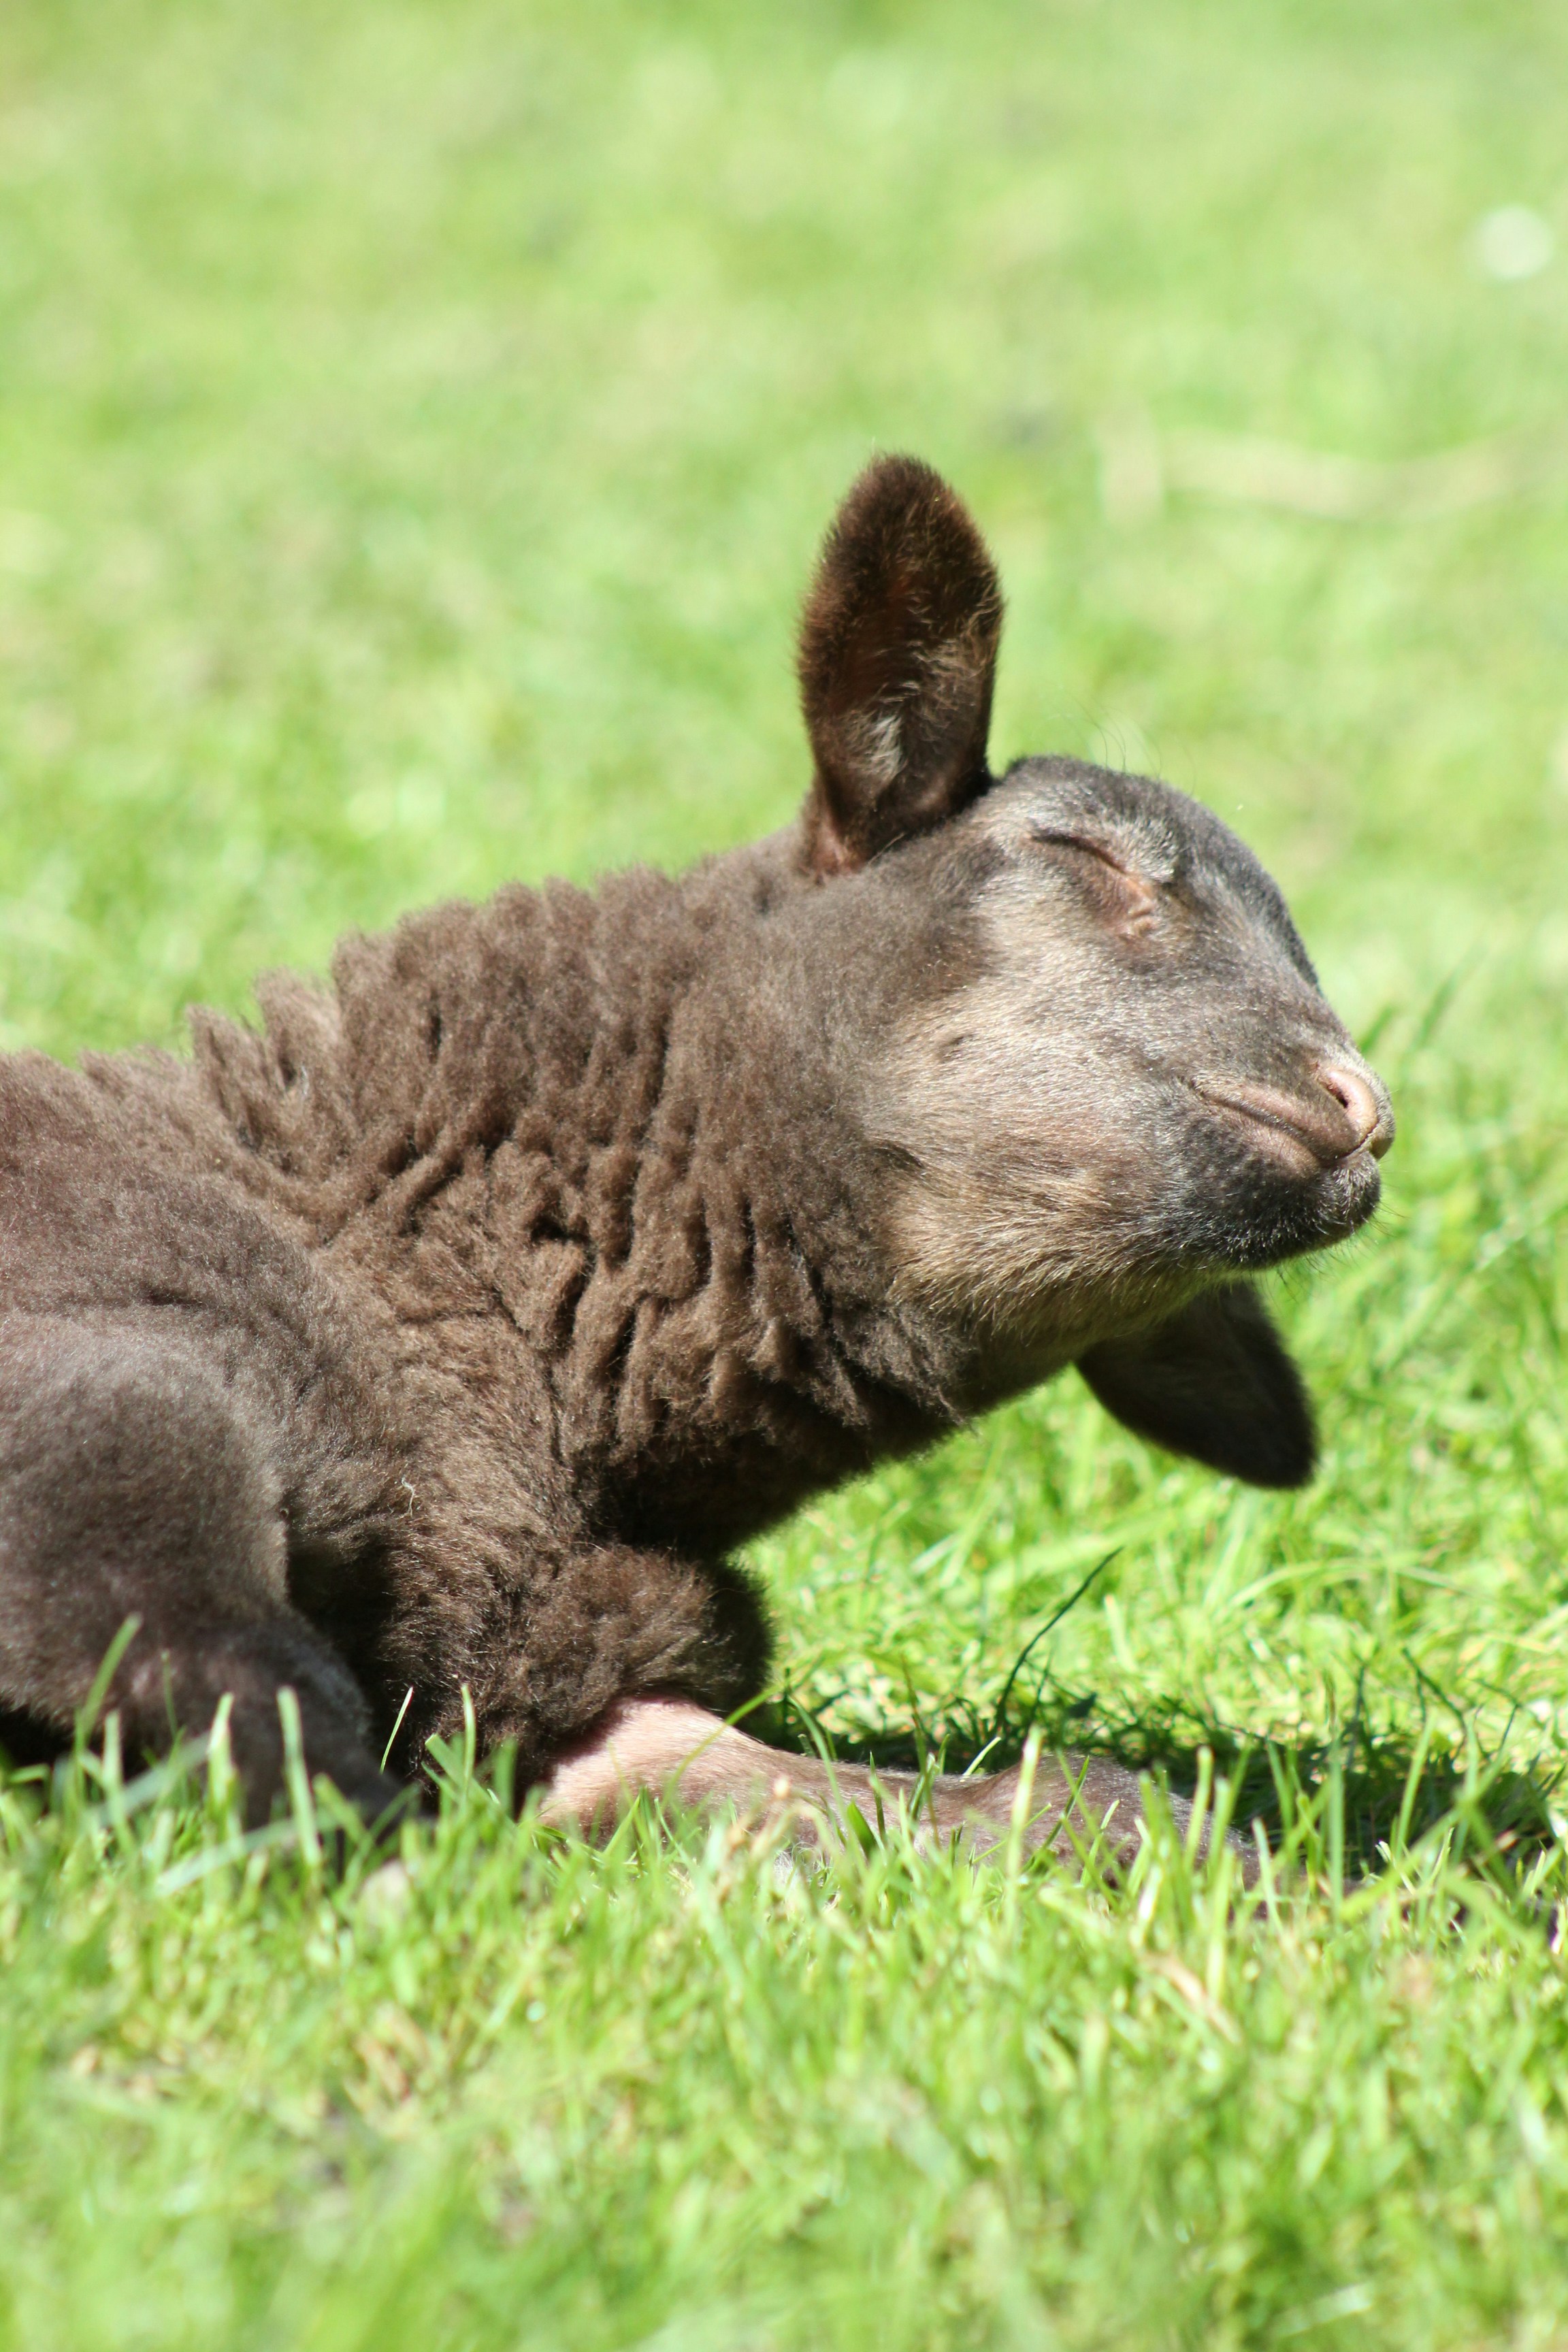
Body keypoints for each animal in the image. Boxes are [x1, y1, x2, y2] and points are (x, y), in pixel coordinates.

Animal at [0, 456, 1392, 1873]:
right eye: (1086, 855)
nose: (1360, 1105)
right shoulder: (118, 1362)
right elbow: (199, 1643)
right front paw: (354, 1844)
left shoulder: (547, 1666)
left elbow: (915, 1798)